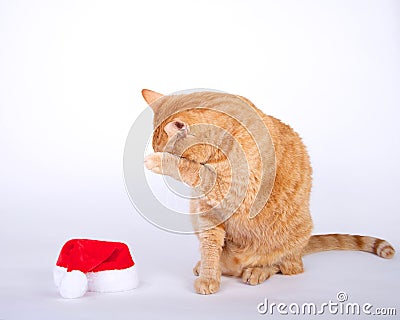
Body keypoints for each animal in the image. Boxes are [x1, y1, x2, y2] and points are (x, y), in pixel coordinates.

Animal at [142, 89, 396, 294]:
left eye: (166, 151)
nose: (156, 154)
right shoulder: (207, 211)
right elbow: (210, 245)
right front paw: (209, 274)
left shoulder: (240, 190)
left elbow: (196, 171)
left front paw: (159, 162)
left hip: (291, 244)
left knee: (287, 266)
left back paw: (258, 270)